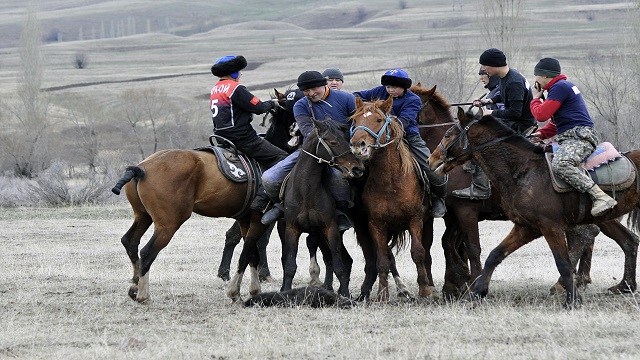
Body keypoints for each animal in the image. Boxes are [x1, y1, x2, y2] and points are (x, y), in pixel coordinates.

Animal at [280, 118, 364, 298]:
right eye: (333, 142)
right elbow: (290, 264)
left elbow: (339, 264)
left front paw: (345, 294)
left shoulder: (330, 228)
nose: (357, 168)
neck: (306, 192)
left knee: (342, 260)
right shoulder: (292, 229)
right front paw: (285, 291)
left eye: (347, 140)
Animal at [348, 95, 432, 300]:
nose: (358, 145)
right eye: (355, 120)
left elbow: (418, 253)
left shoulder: (415, 220)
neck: (391, 182)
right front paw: (382, 295)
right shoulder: (376, 225)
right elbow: (382, 260)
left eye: (379, 120)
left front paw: (424, 291)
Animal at [430, 106, 640, 306]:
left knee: (590, 237)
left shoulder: (549, 226)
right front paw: (476, 293)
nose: (432, 160)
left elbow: (562, 263)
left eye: (448, 134)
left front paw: (572, 300)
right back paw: (625, 285)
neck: (522, 171)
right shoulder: (526, 227)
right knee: (629, 240)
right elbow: (494, 255)